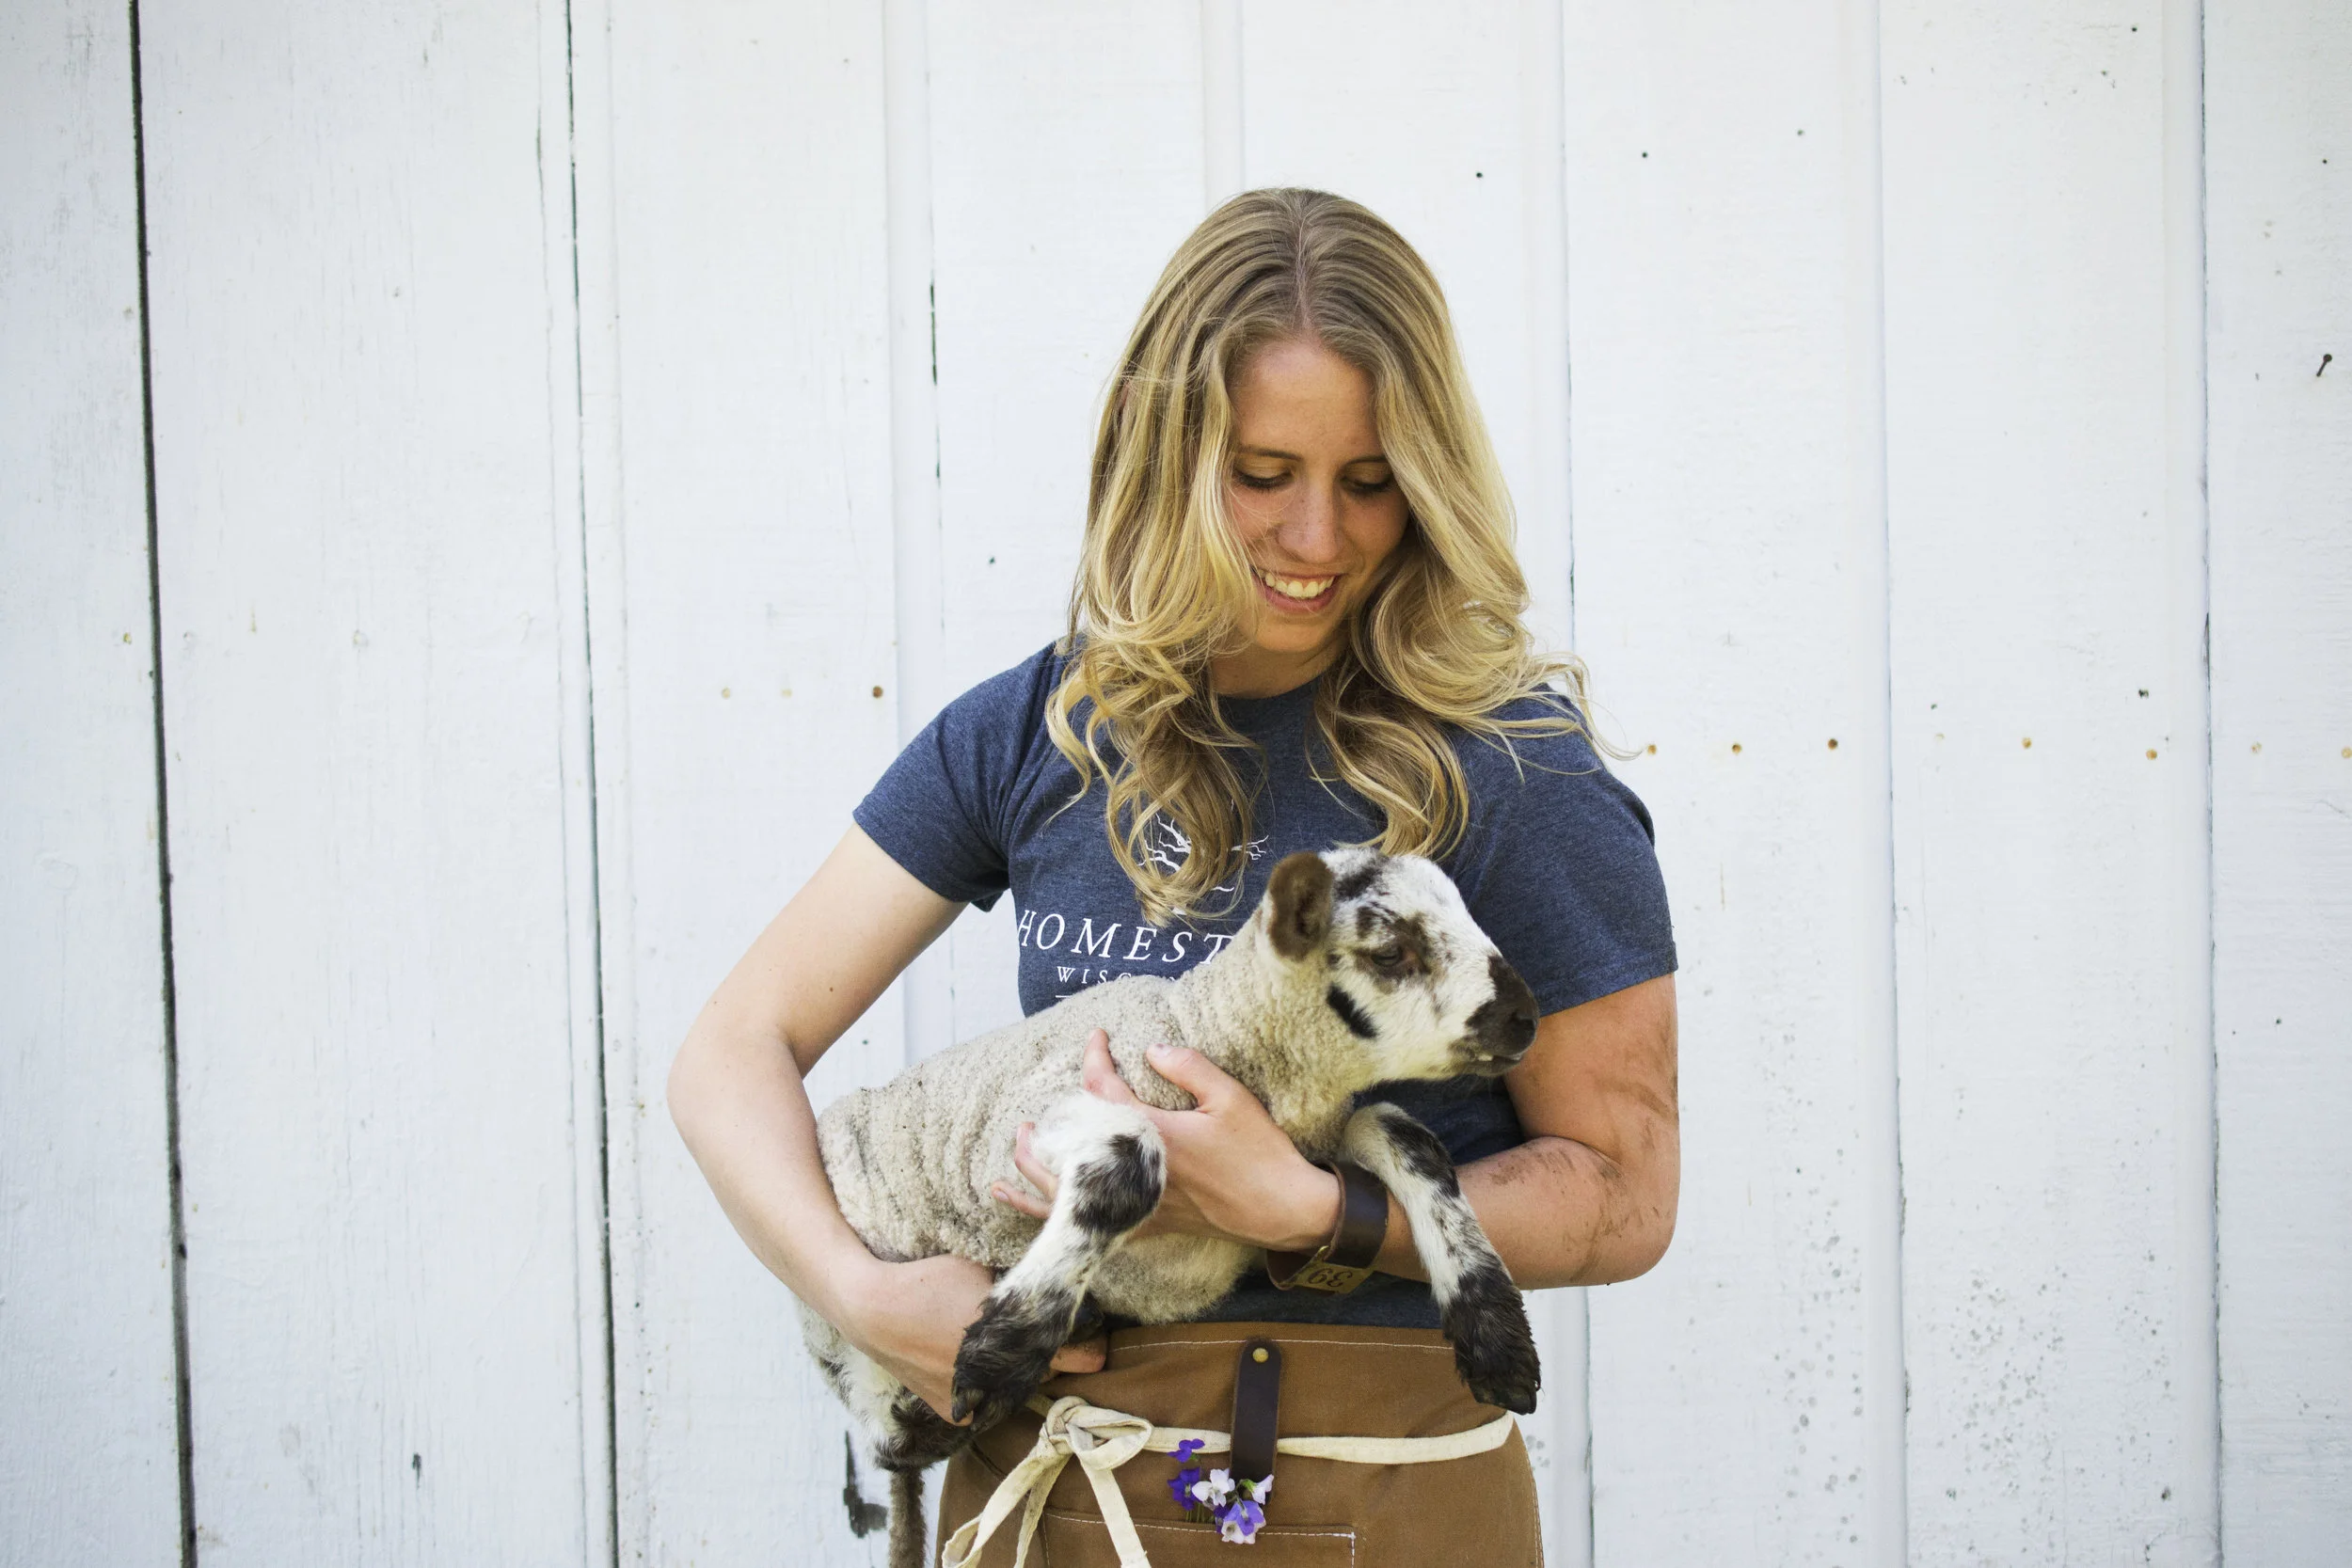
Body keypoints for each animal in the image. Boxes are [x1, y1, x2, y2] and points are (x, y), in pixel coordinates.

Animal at [803, 847, 1544, 1565]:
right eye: (1391, 953)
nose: (1525, 1018)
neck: (1210, 1035)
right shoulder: (1017, 1135)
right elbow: (1133, 1160)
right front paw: (997, 1355)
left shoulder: (1316, 1149)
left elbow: (1410, 1139)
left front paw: (1498, 1343)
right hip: (848, 1328)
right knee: (890, 1439)